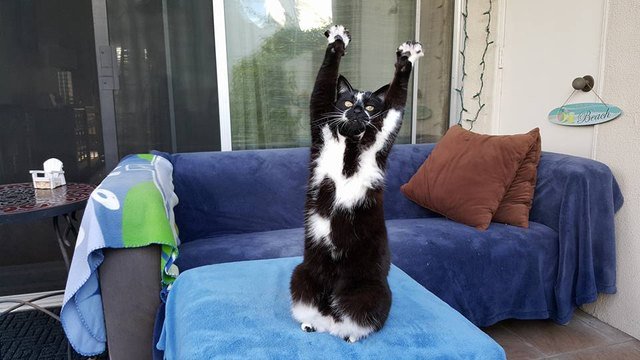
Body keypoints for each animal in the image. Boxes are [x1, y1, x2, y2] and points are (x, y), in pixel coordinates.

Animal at [288, 26, 420, 344]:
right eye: (348, 102)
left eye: (370, 105)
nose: (359, 110)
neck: (351, 140)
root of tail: (330, 313)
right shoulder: (321, 119)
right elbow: (323, 84)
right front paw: (337, 41)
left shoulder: (383, 132)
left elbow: (396, 103)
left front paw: (407, 57)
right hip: (302, 274)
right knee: (312, 310)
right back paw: (312, 324)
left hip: (373, 292)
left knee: (360, 320)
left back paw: (349, 334)